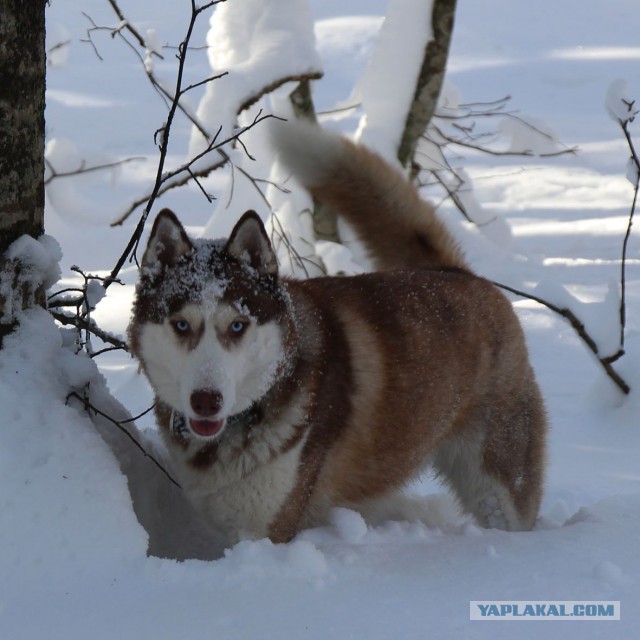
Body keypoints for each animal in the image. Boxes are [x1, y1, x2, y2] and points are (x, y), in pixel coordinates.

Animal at [129, 121, 544, 544]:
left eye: (237, 325)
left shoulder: (268, 530)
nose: (206, 401)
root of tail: (457, 274)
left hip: (500, 484)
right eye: (182, 325)